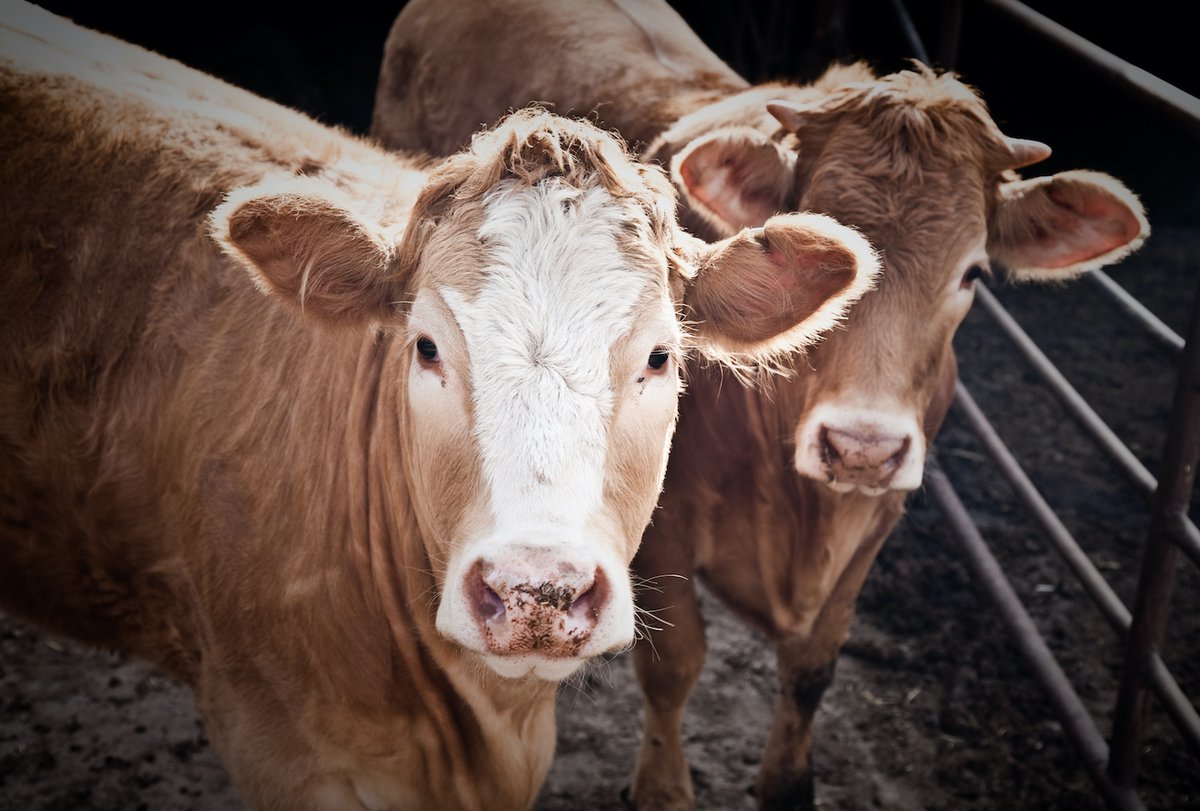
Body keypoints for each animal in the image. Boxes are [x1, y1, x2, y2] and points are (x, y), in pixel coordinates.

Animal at [370, 1, 1151, 808]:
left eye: (972, 273)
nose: (862, 445)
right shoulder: (665, 522)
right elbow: (676, 663)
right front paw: (662, 788)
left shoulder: (876, 519)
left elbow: (811, 670)